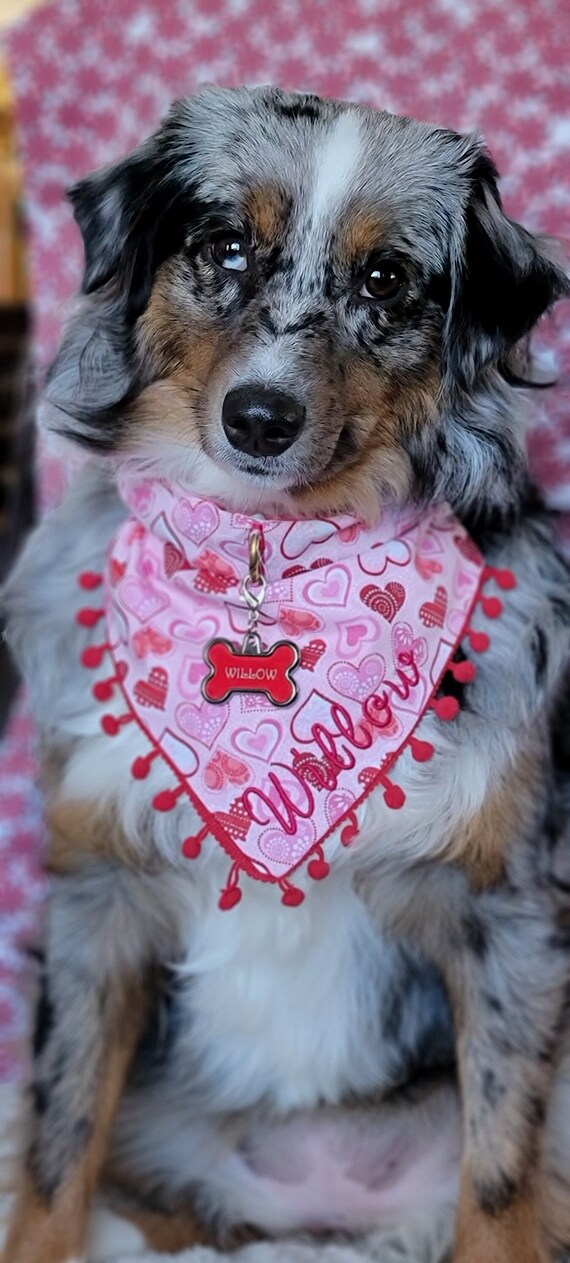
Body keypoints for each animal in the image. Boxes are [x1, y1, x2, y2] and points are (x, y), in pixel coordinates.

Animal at [3, 89, 570, 1263]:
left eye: (386, 279)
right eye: (223, 247)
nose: (259, 419)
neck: (267, 559)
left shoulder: (509, 908)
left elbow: (500, 1180)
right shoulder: (94, 893)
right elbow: (53, 1149)